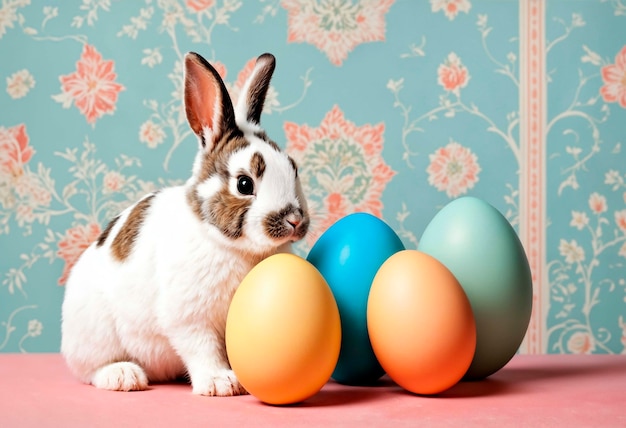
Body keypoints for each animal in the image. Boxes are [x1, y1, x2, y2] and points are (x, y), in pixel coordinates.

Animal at [61, 51, 310, 396]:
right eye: (244, 184)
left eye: (293, 168)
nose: (295, 220)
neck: (233, 246)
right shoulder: (190, 318)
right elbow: (202, 348)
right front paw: (220, 383)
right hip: (94, 335)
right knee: (90, 370)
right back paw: (123, 375)